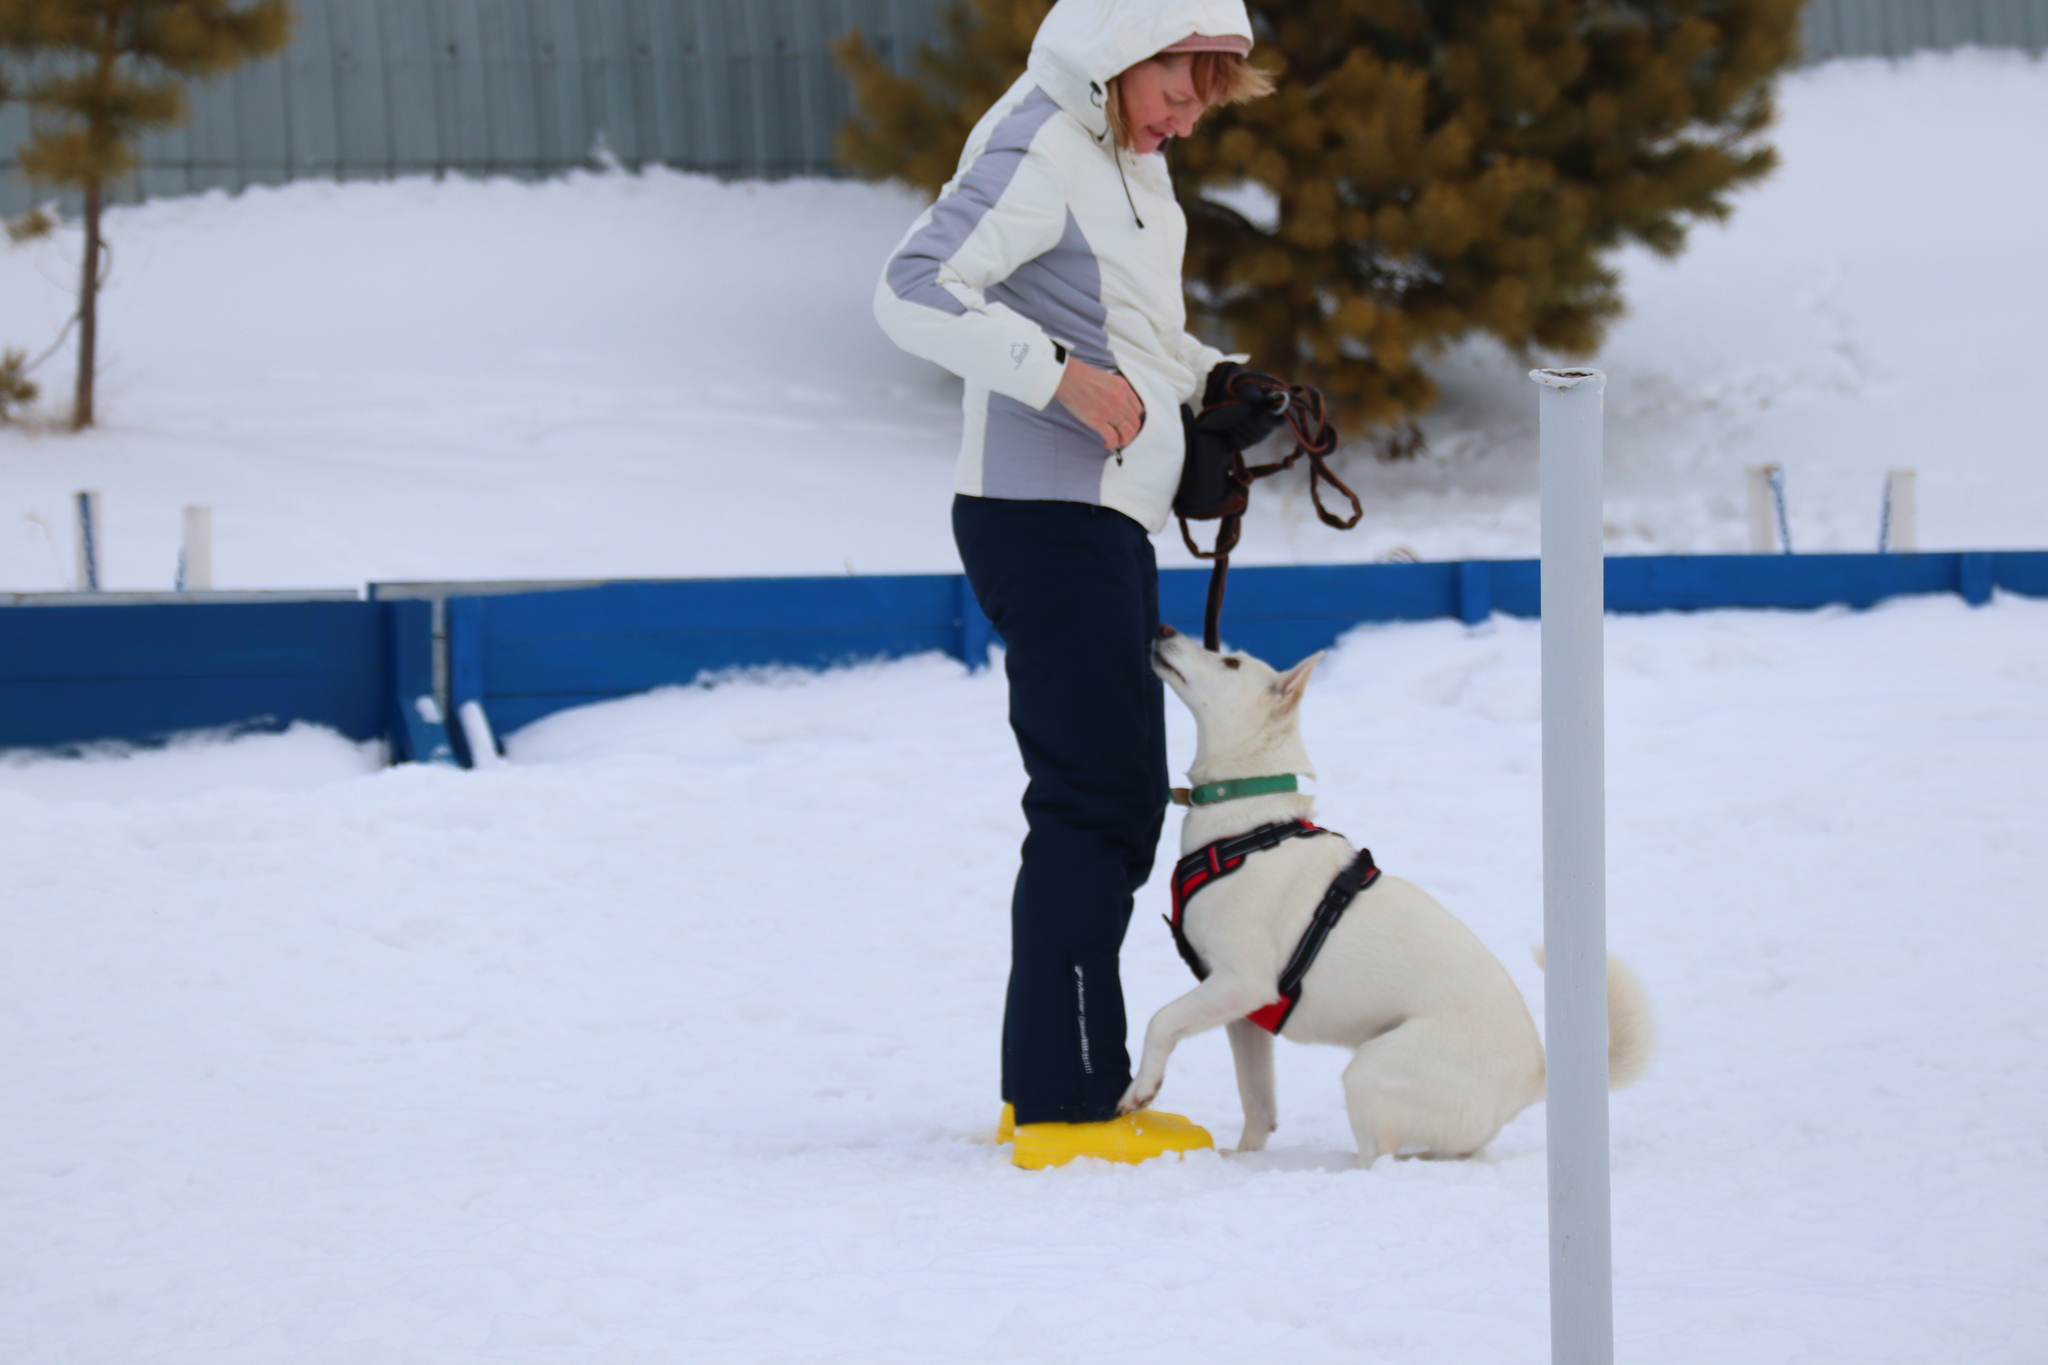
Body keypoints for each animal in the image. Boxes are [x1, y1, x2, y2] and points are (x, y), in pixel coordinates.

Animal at [1130, 626, 1654, 1170]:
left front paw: (1140, 1090)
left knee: (1378, 1158)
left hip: (1370, 1070)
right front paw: (1242, 1160)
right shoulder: (1244, 1013)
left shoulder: (1242, 982)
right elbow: (1258, 1102)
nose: (1164, 629)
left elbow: (1160, 1020)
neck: (1248, 823)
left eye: (1230, 663)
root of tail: (1536, 1078)